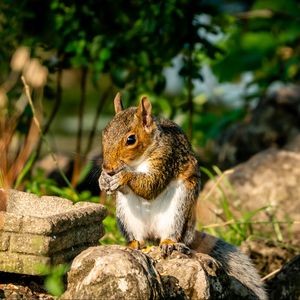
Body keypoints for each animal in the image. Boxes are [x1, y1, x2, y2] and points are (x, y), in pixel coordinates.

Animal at [98, 92, 268, 298]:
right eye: (104, 133)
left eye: (131, 140)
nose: (108, 168)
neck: (138, 161)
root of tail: (154, 235)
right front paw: (103, 180)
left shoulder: (166, 157)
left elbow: (151, 185)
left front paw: (123, 176)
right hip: (126, 216)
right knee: (138, 237)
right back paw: (133, 245)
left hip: (178, 210)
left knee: (172, 234)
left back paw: (169, 243)